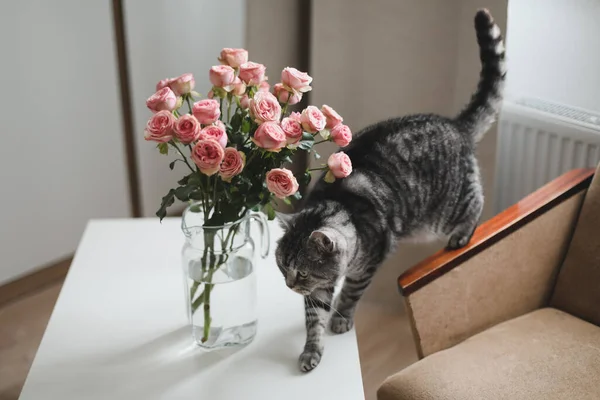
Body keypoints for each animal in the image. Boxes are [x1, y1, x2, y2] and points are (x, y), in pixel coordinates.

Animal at [276, 8, 506, 372]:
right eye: (283, 267)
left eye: (301, 271)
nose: (289, 285)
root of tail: (455, 124)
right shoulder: (319, 292)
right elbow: (314, 322)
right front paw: (312, 351)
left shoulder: (364, 268)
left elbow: (349, 296)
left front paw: (341, 319)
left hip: (441, 216)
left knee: (476, 202)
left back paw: (462, 235)